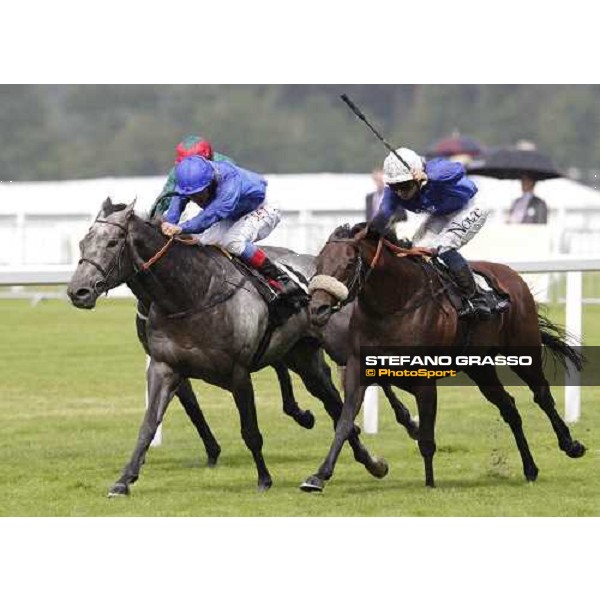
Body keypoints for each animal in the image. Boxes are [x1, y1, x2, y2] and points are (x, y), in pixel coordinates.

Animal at [68, 199, 392, 494]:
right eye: (83, 242)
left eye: (112, 242)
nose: (77, 291)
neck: (192, 294)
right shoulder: (164, 367)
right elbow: (149, 424)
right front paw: (124, 479)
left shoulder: (238, 372)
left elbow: (250, 431)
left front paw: (264, 479)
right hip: (302, 357)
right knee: (337, 408)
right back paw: (368, 463)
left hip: (339, 349)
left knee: (351, 399)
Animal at [302, 225, 584, 492]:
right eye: (319, 262)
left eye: (350, 262)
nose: (317, 309)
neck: (393, 306)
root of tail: (511, 275)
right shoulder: (360, 370)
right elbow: (345, 421)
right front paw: (319, 476)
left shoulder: (424, 379)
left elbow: (427, 437)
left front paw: (429, 482)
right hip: (480, 369)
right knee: (509, 407)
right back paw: (530, 468)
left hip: (523, 350)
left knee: (542, 395)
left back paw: (571, 445)